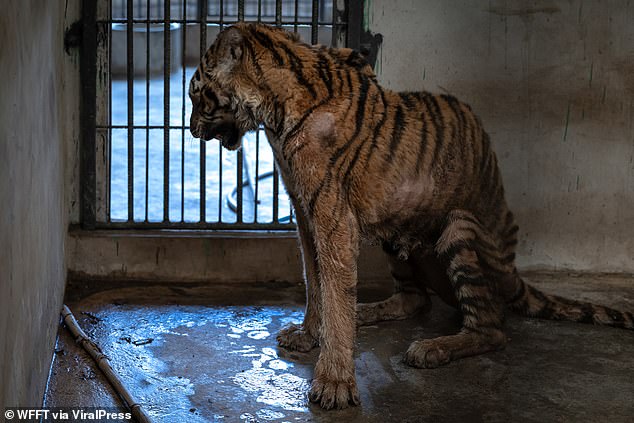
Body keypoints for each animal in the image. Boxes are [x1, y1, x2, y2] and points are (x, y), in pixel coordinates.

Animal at [188, 22, 632, 410]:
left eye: (196, 95)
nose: (190, 129)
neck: (273, 110)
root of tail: (514, 271)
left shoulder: (332, 219)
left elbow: (333, 291)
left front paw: (333, 383)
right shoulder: (305, 214)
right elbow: (315, 283)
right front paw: (311, 334)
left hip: (460, 229)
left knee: (491, 327)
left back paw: (431, 348)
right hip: (396, 224)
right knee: (415, 298)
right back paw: (367, 313)